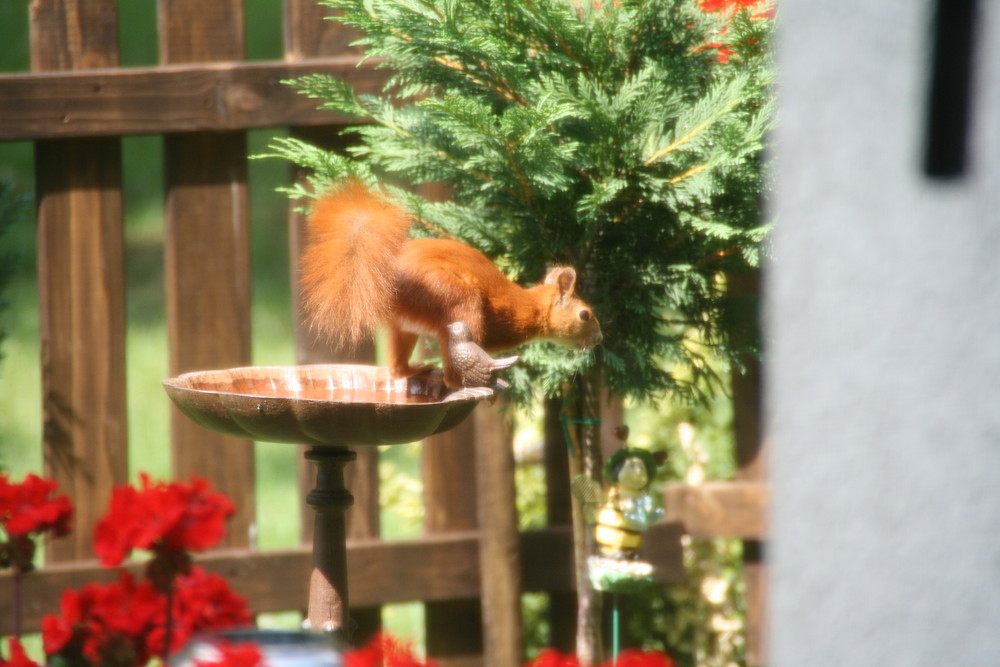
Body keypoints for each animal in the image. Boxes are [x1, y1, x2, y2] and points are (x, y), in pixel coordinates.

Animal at [298, 183, 600, 392]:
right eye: (585, 314)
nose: (598, 339)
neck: (530, 306)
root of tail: (388, 276)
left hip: (405, 326)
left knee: (397, 369)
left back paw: (414, 370)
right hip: (457, 299)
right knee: (452, 370)